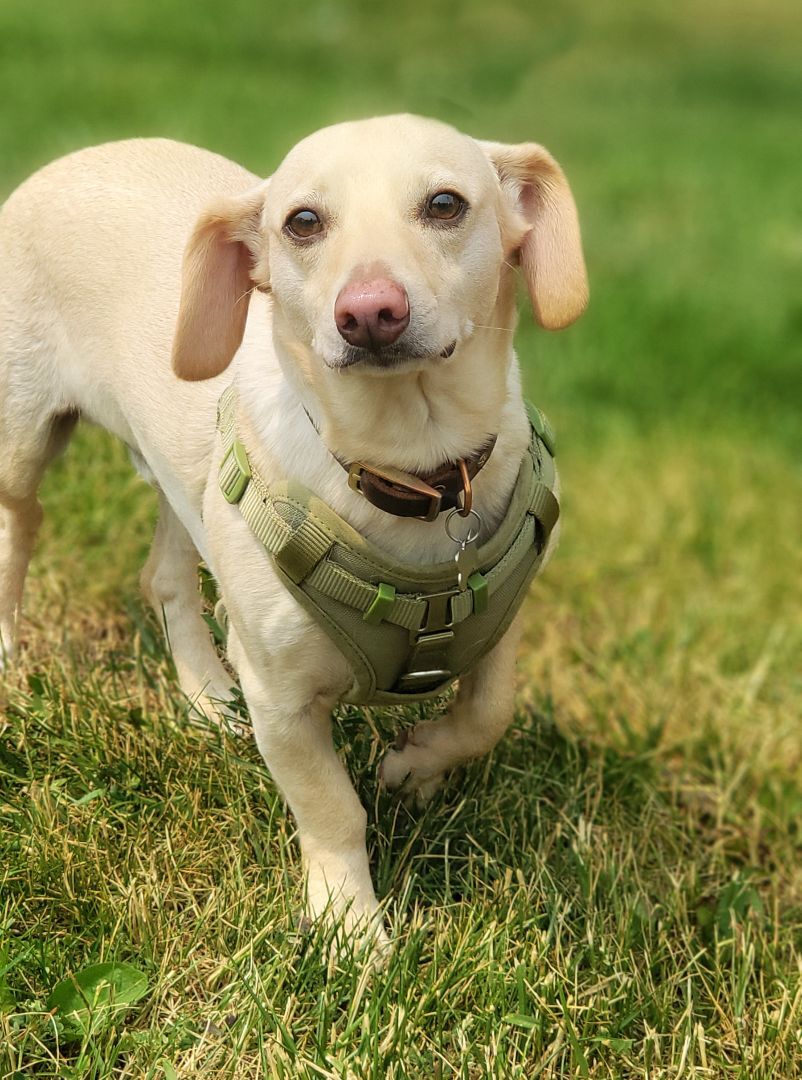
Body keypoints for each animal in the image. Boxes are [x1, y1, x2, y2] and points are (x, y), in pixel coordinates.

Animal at [0, 113, 591, 950]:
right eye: (303, 222)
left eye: (445, 204)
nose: (368, 312)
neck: (409, 471)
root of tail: (72, 160)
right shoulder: (279, 699)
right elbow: (331, 806)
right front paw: (350, 929)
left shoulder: (498, 631)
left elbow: (485, 715)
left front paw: (414, 767)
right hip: (22, 442)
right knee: (18, 530)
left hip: (187, 482)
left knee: (167, 579)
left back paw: (207, 698)